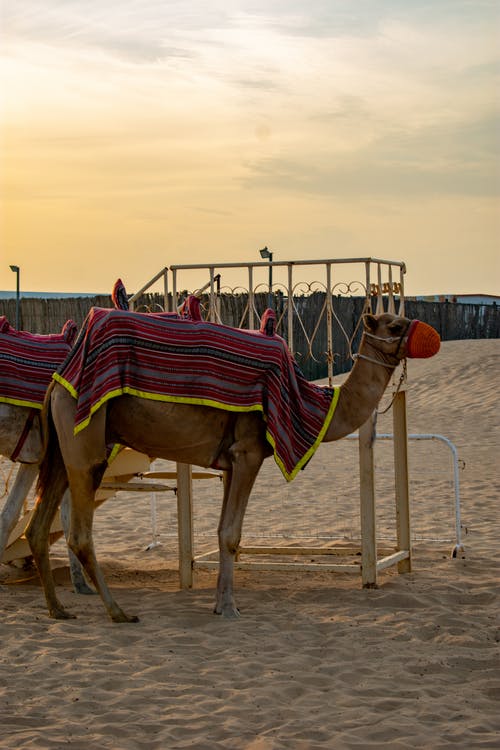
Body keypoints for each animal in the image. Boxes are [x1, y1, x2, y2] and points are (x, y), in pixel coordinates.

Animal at [25, 312, 440, 624]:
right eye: (395, 326)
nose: (431, 337)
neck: (311, 403)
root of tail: (57, 382)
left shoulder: (228, 462)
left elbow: (222, 530)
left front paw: (218, 603)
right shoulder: (249, 453)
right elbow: (231, 534)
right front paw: (228, 608)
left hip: (60, 450)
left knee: (37, 527)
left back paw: (58, 609)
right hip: (85, 443)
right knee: (79, 533)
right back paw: (118, 612)